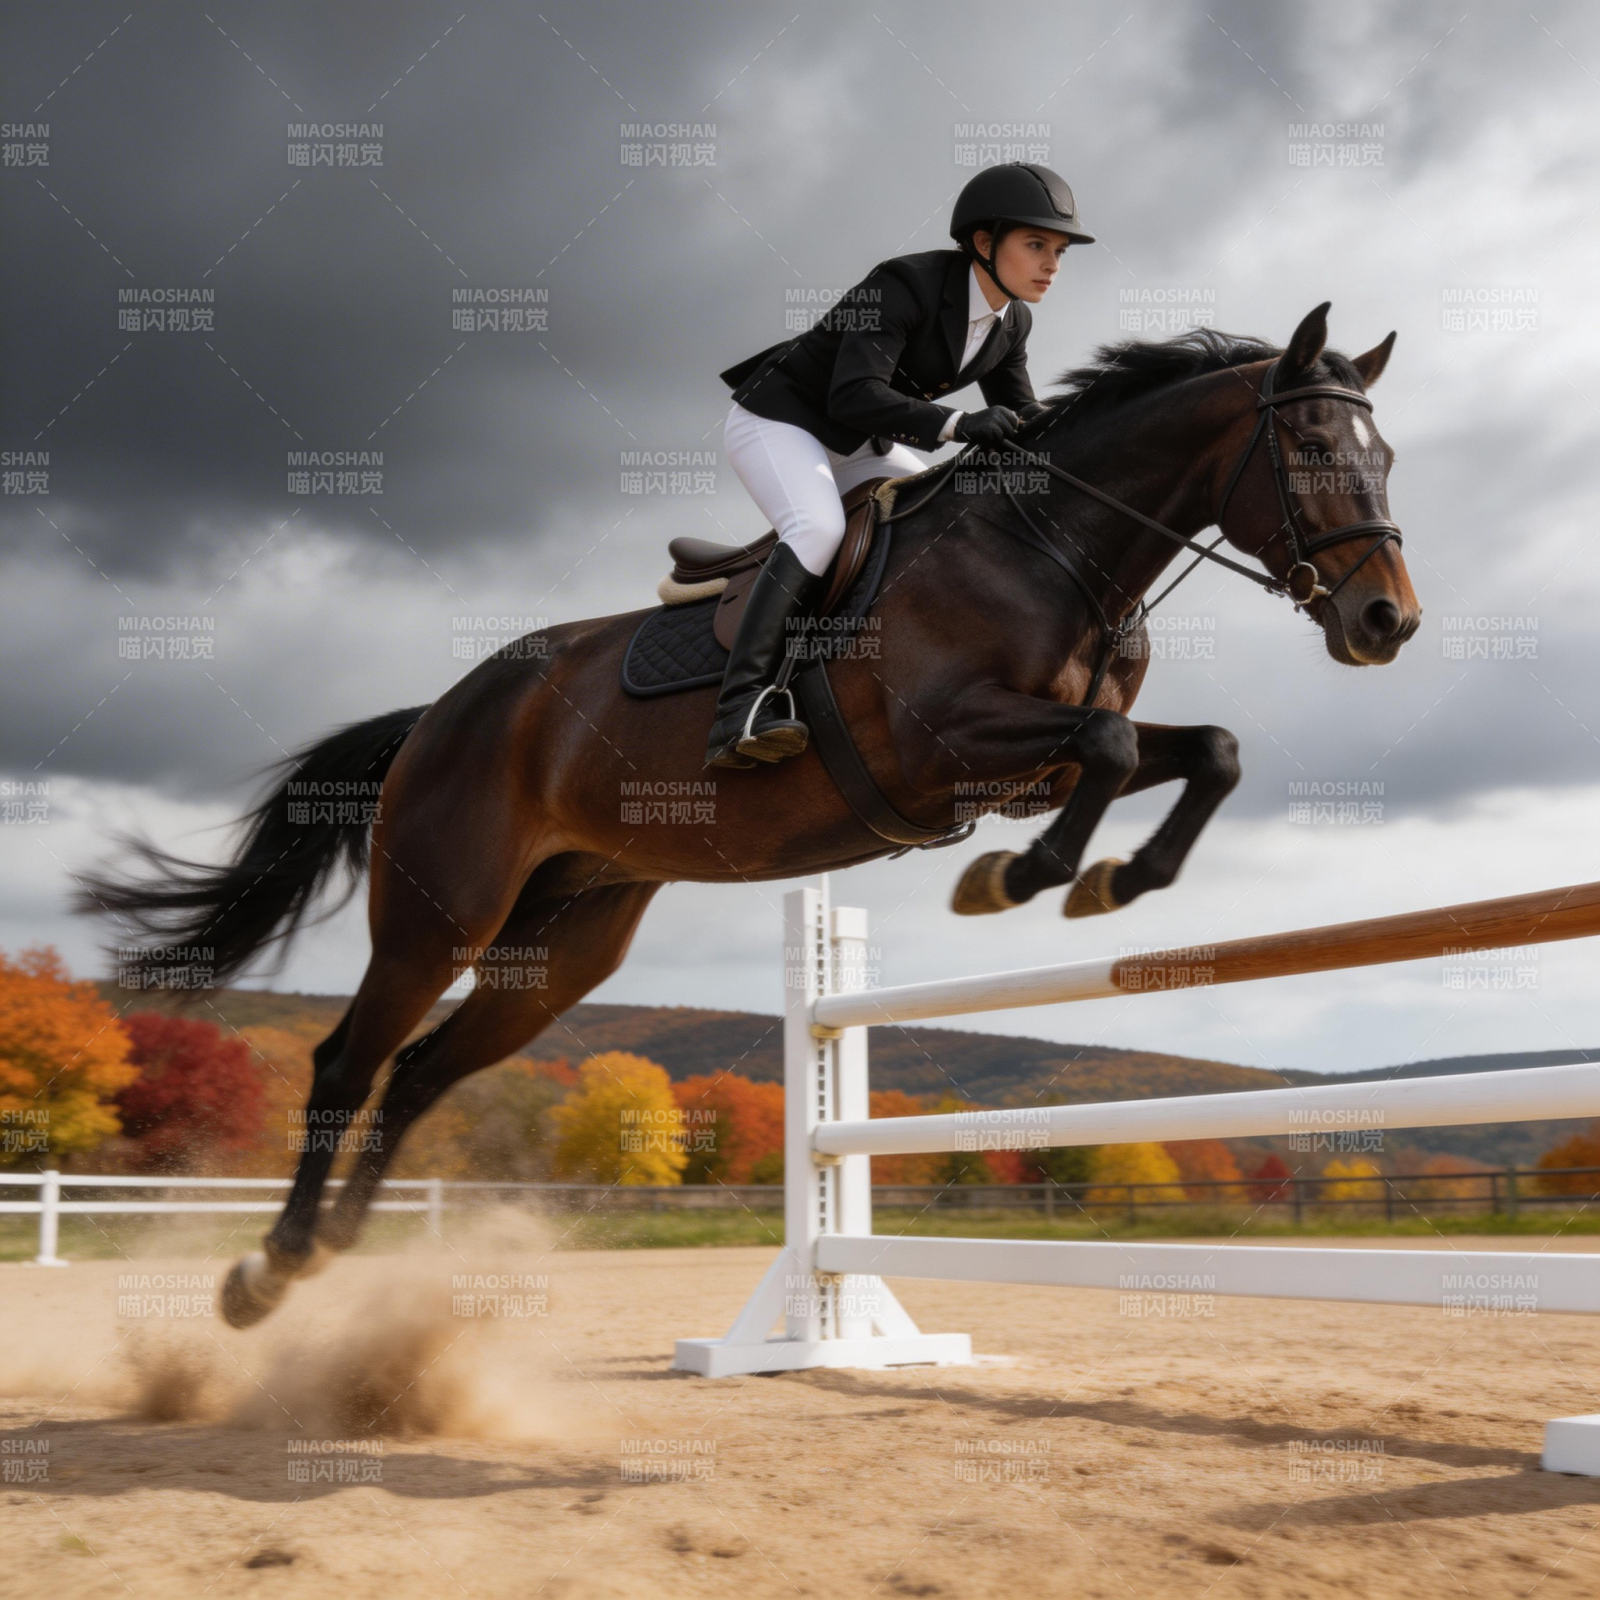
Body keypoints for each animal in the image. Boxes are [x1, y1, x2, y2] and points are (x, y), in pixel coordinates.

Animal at [78, 303, 1419, 1326]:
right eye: (1308, 445)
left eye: (1388, 456)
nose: (1386, 622)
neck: (1058, 549)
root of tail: (440, 714)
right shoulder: (944, 748)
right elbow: (1112, 743)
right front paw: (1022, 877)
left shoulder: (1021, 764)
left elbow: (1197, 750)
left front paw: (1106, 880)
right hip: (438, 912)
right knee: (347, 1061)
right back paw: (266, 1271)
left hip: (566, 940)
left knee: (415, 1075)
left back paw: (333, 1250)